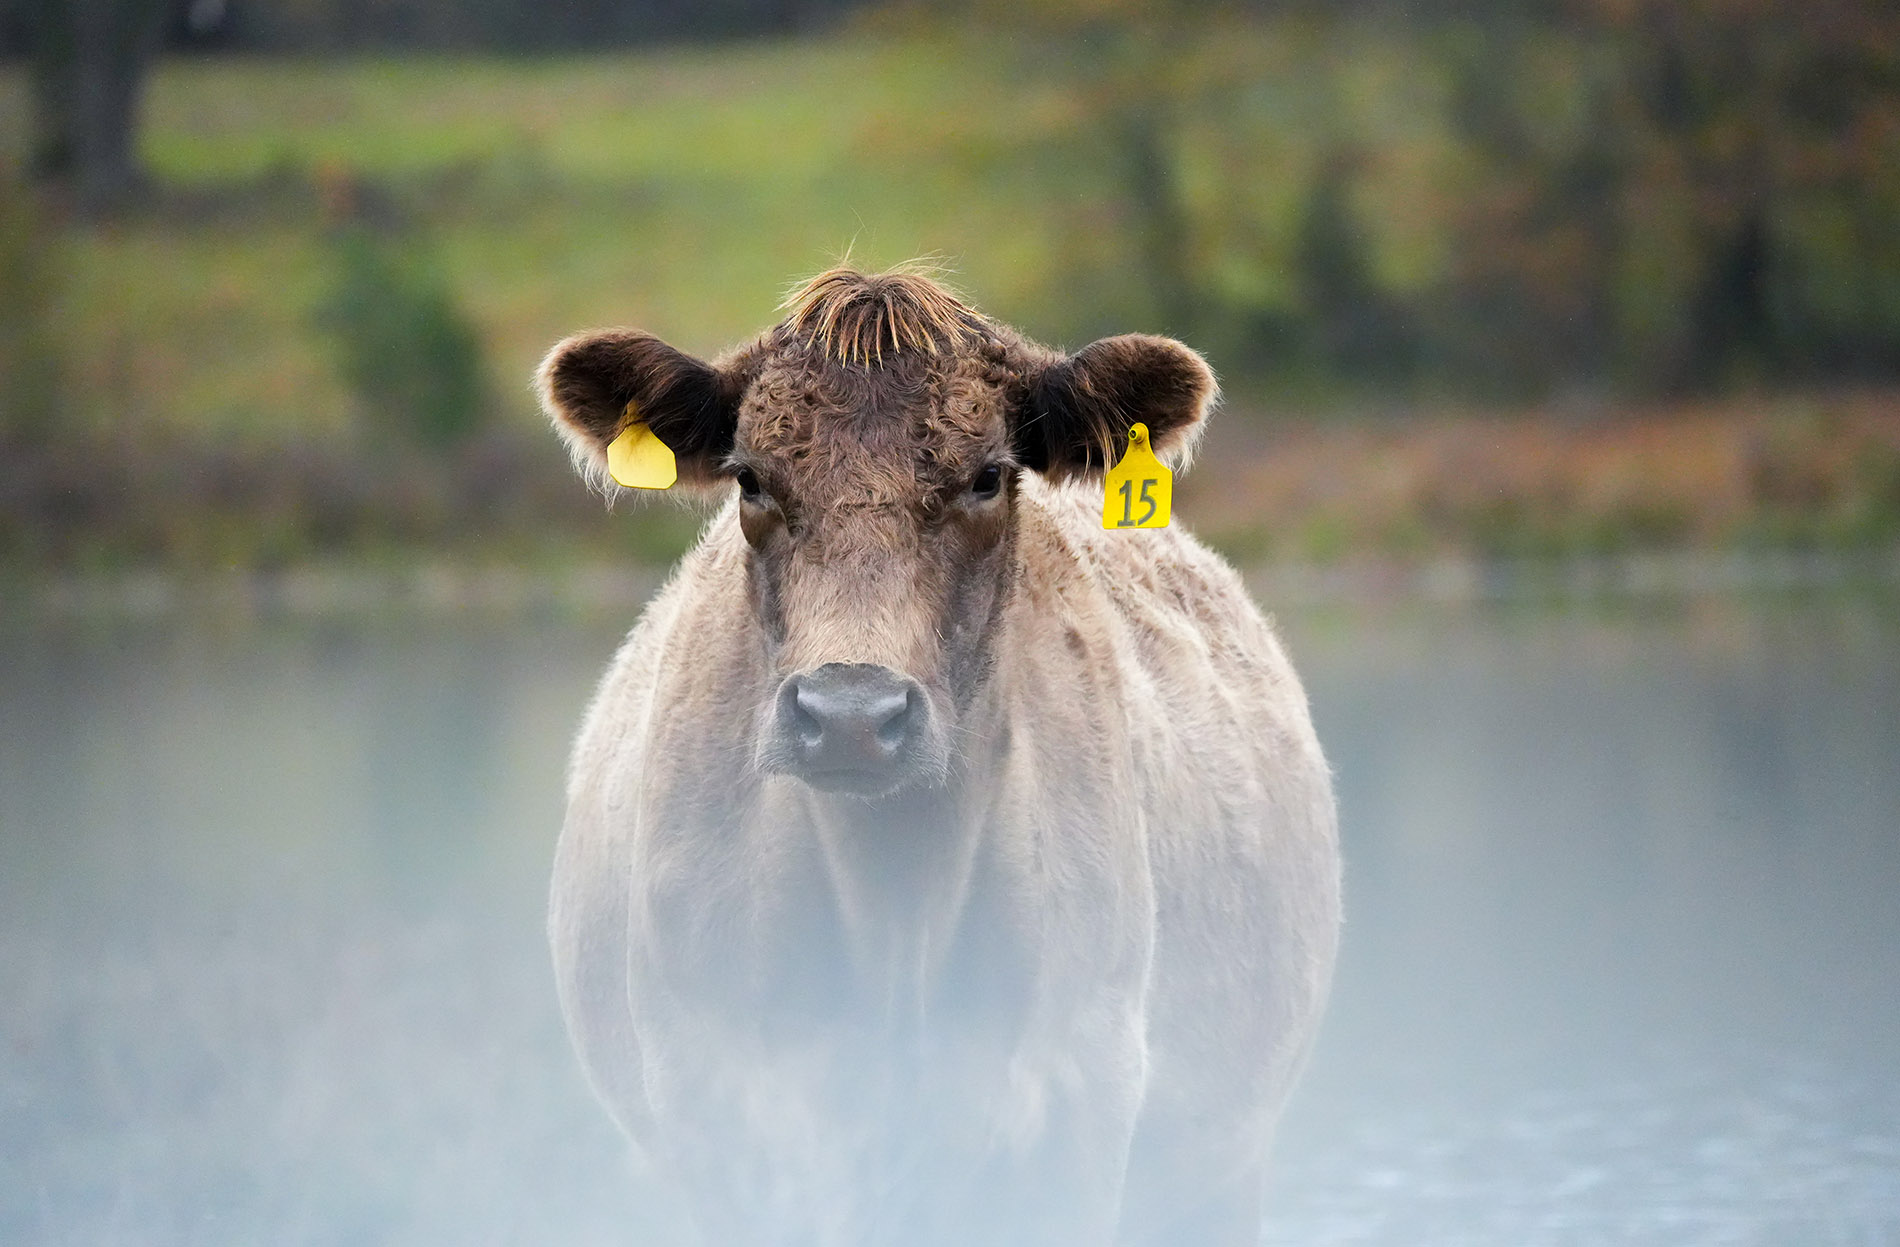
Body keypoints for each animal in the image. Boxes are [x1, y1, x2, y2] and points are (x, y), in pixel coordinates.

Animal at [535, 268, 1337, 1247]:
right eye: (752, 477)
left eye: (987, 476)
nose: (850, 712)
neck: (896, 914)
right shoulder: (708, 1114)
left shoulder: (1080, 1101)